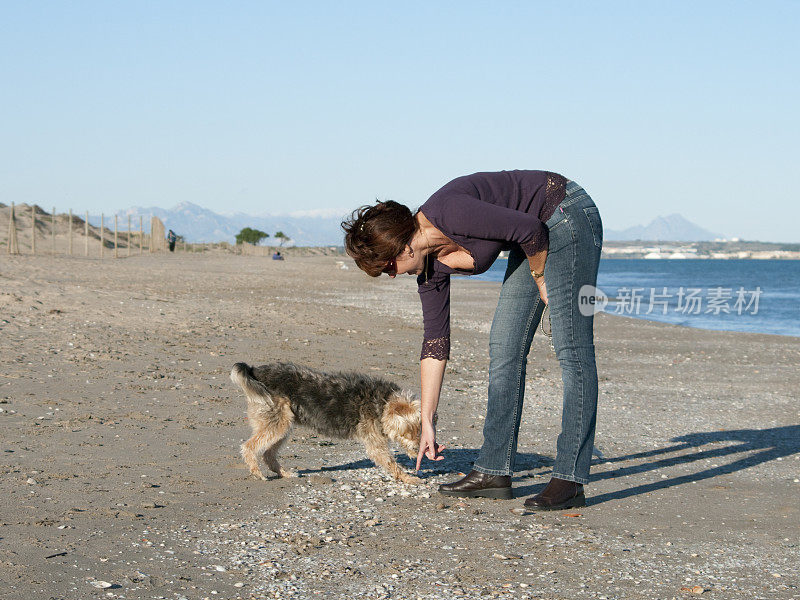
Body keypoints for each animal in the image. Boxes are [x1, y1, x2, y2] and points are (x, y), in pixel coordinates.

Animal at [228, 360, 422, 482]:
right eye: (408, 431)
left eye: (419, 430)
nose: (418, 448)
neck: (382, 402)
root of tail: (255, 371)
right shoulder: (375, 444)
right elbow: (391, 464)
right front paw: (410, 478)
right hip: (277, 423)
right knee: (249, 447)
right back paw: (257, 473)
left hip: (282, 425)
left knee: (268, 454)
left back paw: (284, 473)